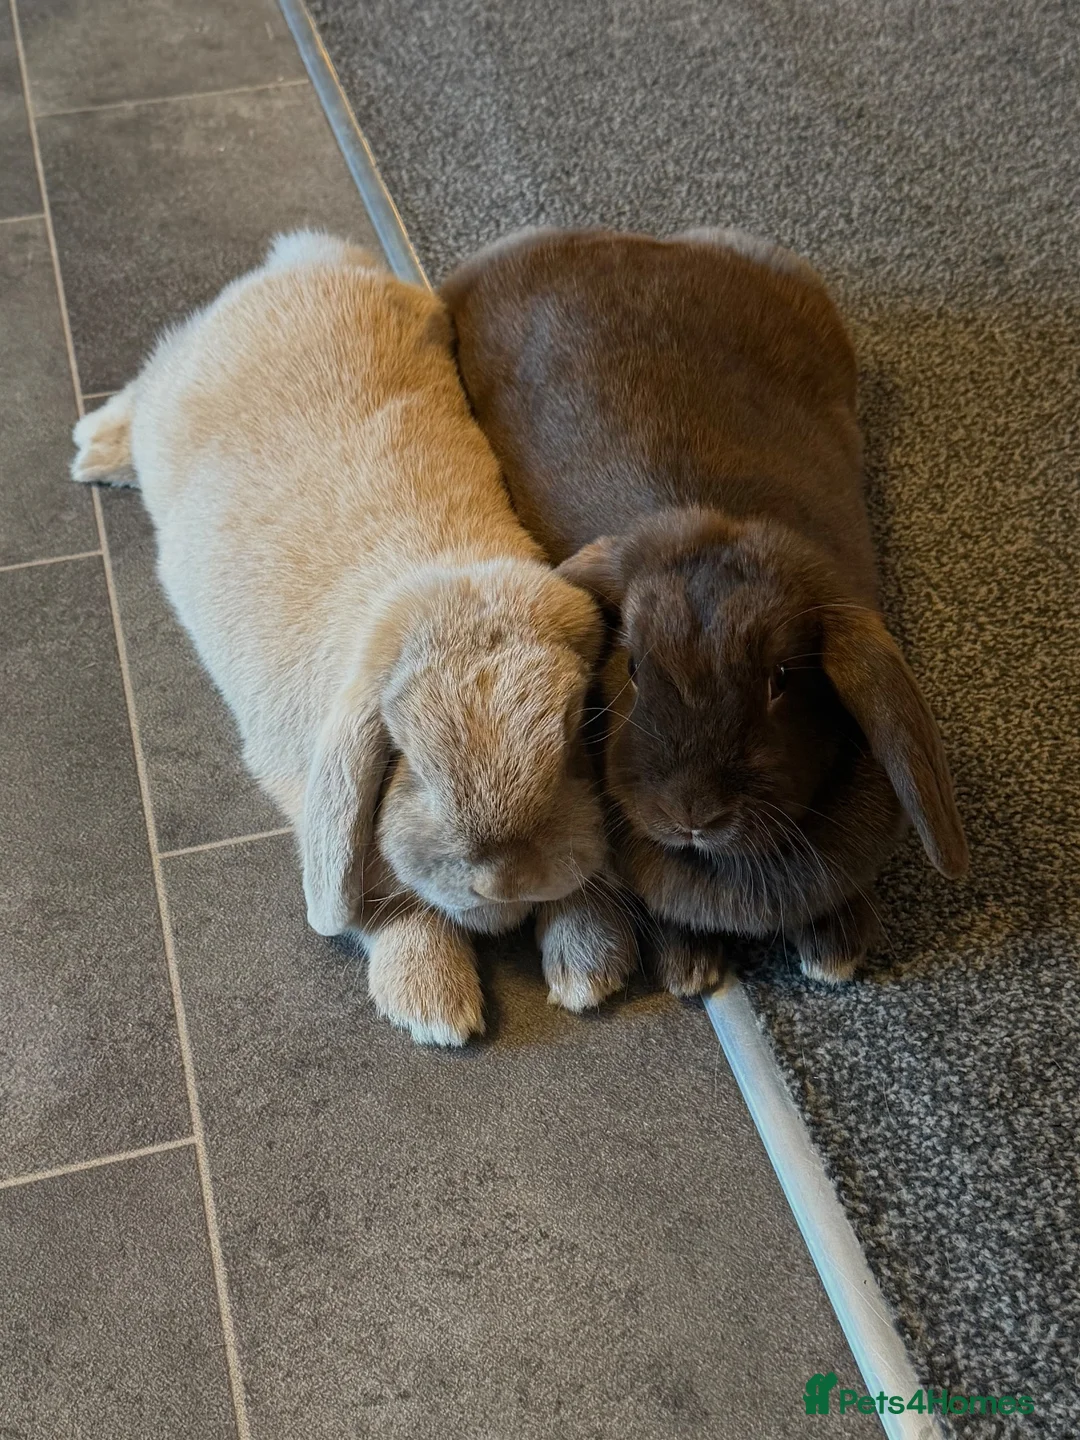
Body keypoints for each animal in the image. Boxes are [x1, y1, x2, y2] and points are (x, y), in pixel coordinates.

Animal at [71, 230, 633, 1045]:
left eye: (569, 744)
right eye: (412, 763)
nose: (501, 880)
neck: (445, 580)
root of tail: (303, 263)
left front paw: (590, 968)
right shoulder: (310, 791)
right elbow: (377, 903)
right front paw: (432, 1006)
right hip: (172, 393)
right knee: (144, 385)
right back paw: (94, 449)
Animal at [440, 225, 969, 989]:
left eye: (783, 679)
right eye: (631, 668)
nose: (691, 813)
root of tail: (629, 241)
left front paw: (836, 947)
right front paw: (688, 964)